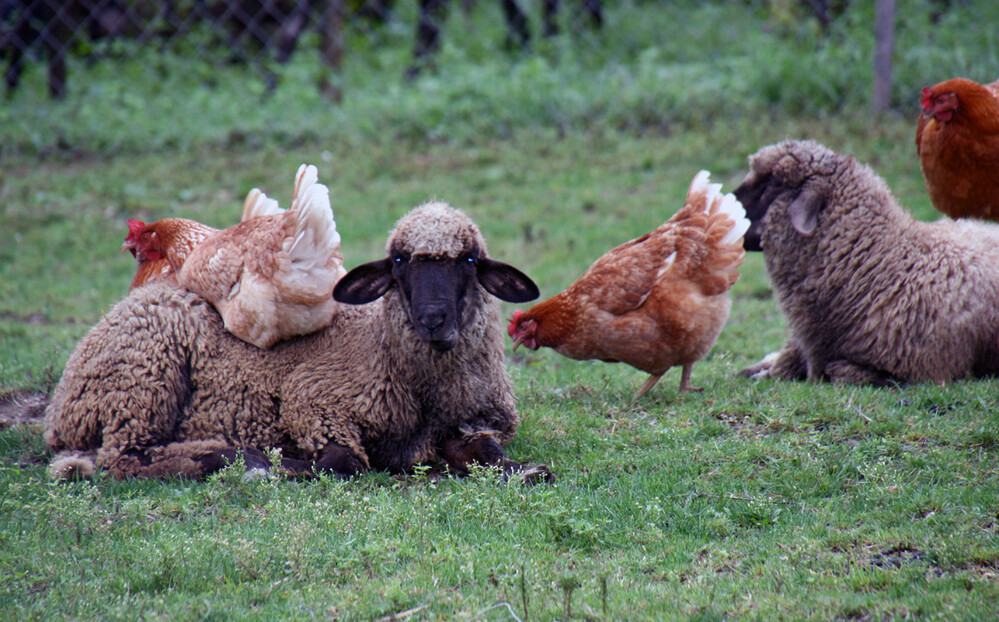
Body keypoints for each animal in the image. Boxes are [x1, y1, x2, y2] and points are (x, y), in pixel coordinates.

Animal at [45, 204, 556, 482]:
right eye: (398, 262)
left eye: (468, 260)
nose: (432, 319)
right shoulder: (314, 403)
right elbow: (342, 463)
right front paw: (285, 464)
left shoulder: (472, 421)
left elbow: (489, 455)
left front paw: (528, 470)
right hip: (142, 382)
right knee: (126, 458)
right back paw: (233, 457)